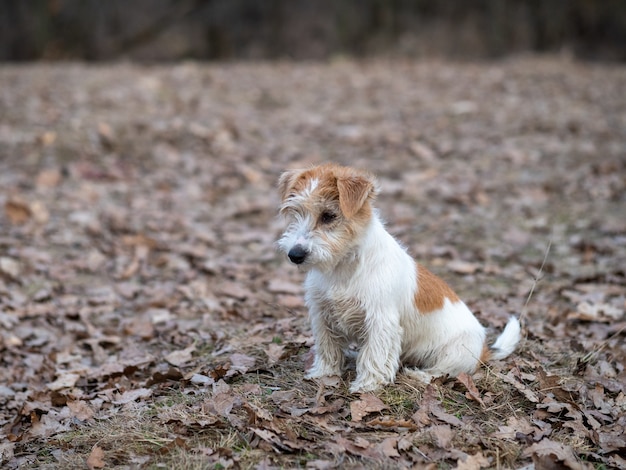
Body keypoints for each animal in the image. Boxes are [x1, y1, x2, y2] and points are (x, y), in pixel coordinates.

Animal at [276, 163, 520, 392]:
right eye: (296, 212)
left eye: (328, 216)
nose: (295, 254)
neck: (343, 266)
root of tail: (485, 349)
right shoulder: (322, 314)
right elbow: (328, 347)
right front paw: (324, 373)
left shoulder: (380, 321)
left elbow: (375, 354)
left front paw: (368, 384)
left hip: (457, 352)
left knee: (443, 372)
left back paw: (418, 375)